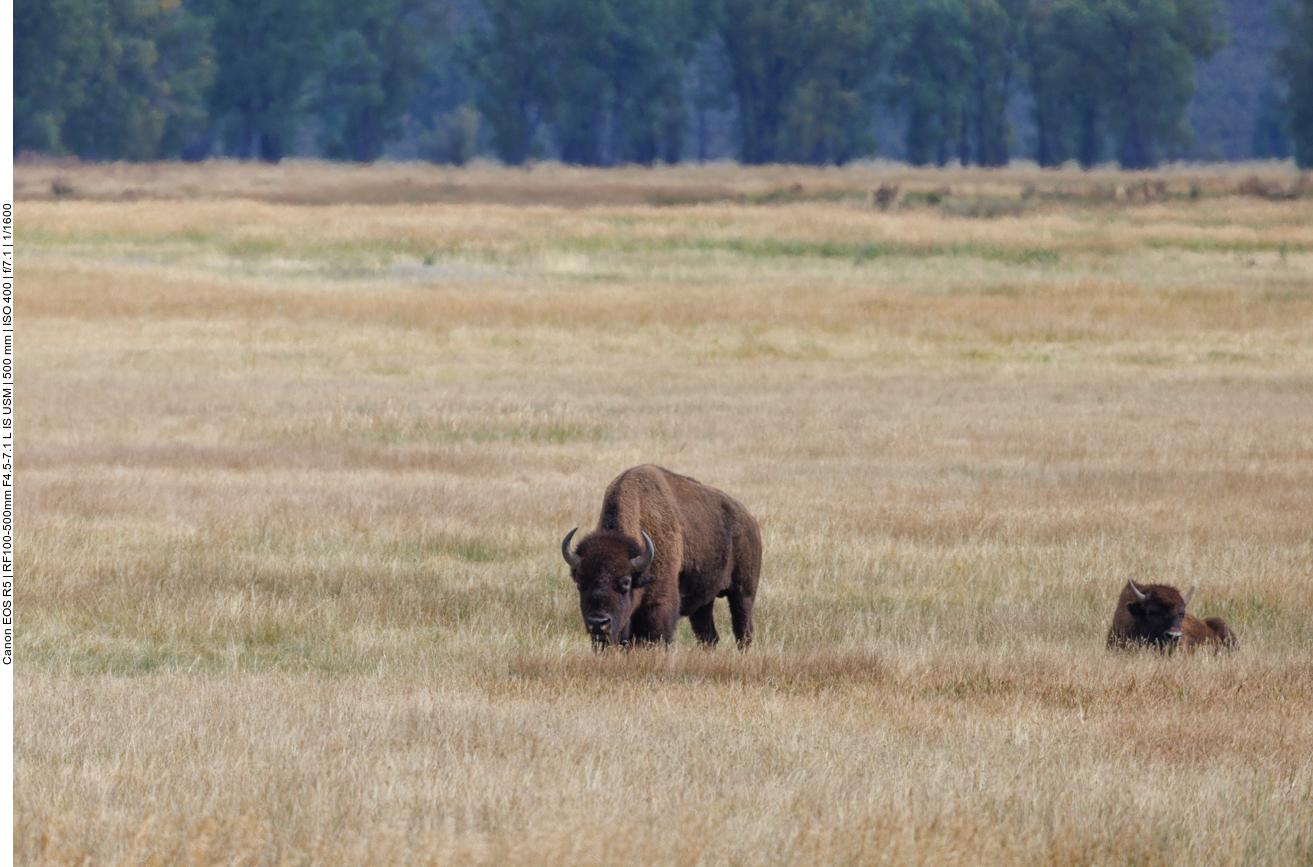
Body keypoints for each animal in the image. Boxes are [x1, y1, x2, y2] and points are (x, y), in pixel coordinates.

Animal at [554, 465, 761, 646]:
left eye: (626, 582)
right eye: (580, 582)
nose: (598, 623)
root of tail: (749, 520)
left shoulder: (659, 608)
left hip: (743, 592)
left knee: (743, 631)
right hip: (704, 602)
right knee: (708, 637)